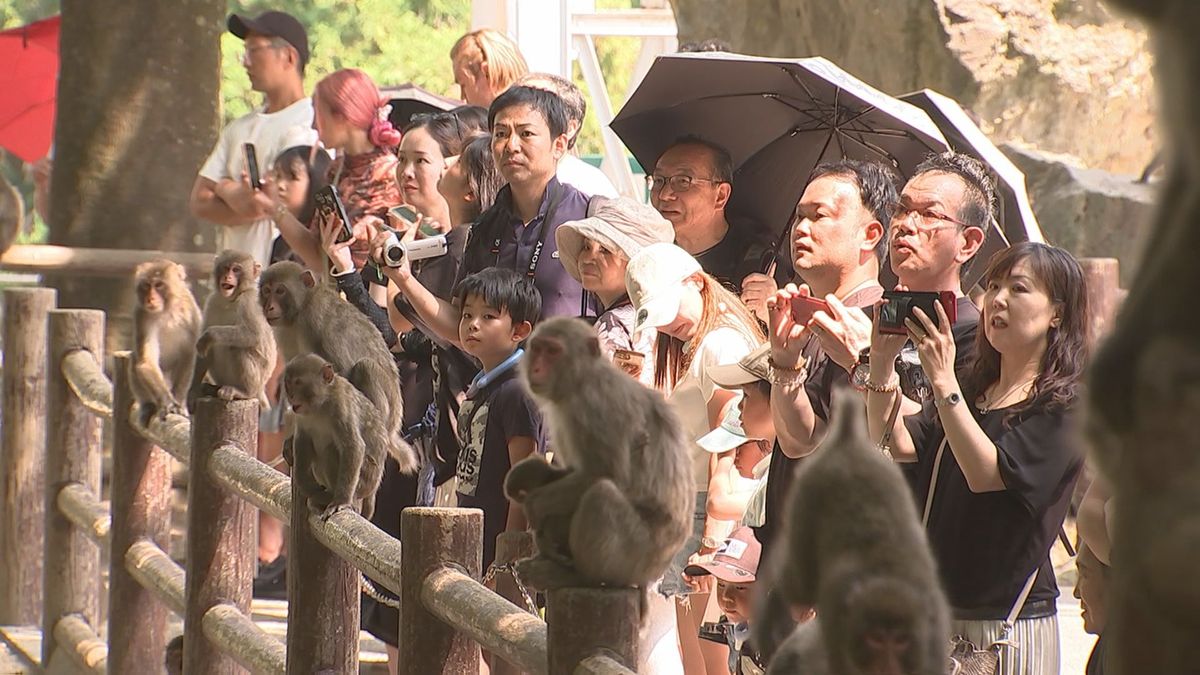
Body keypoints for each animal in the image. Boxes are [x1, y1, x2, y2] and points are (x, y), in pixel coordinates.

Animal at [189, 249, 276, 410]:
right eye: (226, 268)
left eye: (236, 270)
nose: (227, 276)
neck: (230, 300)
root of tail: (261, 390)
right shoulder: (212, 301)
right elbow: (203, 351)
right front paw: (193, 392)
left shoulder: (250, 301)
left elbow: (253, 335)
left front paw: (210, 335)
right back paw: (212, 389)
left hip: (257, 381)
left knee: (237, 347)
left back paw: (243, 392)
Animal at [283, 353, 420, 514]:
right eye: (287, 384)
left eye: (298, 383)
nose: (291, 396)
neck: (320, 405)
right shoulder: (302, 418)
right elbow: (302, 442)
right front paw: (306, 485)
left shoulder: (341, 407)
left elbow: (353, 447)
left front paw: (341, 501)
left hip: (366, 478)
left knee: (330, 450)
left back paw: (339, 498)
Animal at [504, 317, 696, 593]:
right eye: (538, 349)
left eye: (553, 351)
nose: (537, 369)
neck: (582, 379)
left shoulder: (595, 408)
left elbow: (604, 473)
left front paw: (534, 507)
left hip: (638, 557)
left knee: (600, 496)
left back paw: (579, 577)